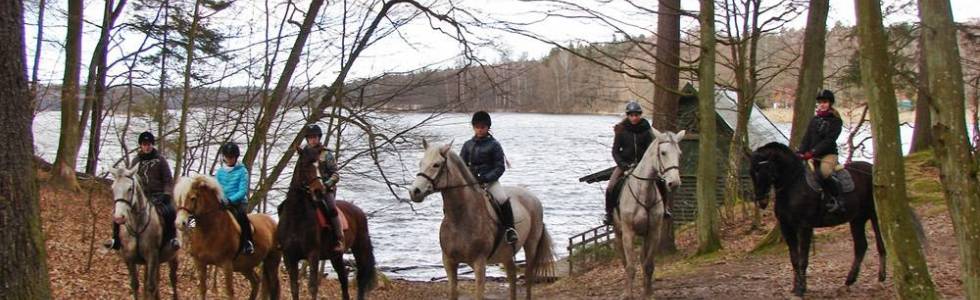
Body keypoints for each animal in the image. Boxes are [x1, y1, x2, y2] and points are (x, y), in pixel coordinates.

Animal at [109, 168, 180, 298]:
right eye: (113, 188)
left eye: (130, 188)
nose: (119, 218)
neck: (137, 225)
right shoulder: (129, 258)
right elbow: (135, 284)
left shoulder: (152, 256)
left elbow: (151, 286)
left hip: (173, 257)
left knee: (172, 279)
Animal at [280, 145, 378, 300]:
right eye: (305, 165)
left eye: (320, 166)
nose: (319, 190)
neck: (296, 217)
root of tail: (358, 211)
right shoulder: (289, 256)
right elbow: (294, 287)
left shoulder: (312, 254)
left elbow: (312, 287)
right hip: (335, 256)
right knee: (343, 279)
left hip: (359, 248)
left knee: (360, 278)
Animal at [408, 141, 560, 300]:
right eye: (420, 163)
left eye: (436, 165)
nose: (414, 192)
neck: (460, 218)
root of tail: (532, 196)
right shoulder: (449, 262)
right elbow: (453, 292)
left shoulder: (479, 263)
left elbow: (479, 294)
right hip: (506, 254)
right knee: (512, 276)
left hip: (531, 245)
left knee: (528, 276)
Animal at [608, 127, 684, 298]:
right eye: (663, 152)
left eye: (679, 153)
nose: (674, 183)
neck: (644, 192)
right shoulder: (629, 233)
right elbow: (630, 266)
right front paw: (628, 295)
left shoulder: (654, 232)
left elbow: (648, 265)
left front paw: (648, 294)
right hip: (618, 233)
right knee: (624, 260)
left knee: (643, 259)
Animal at [752, 143, 888, 298]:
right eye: (752, 172)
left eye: (766, 169)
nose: (761, 201)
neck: (793, 184)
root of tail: (872, 170)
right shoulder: (787, 227)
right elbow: (794, 259)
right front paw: (796, 287)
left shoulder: (804, 227)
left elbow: (803, 259)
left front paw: (801, 289)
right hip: (857, 219)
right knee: (861, 246)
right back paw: (848, 283)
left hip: (874, 215)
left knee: (880, 244)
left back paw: (880, 280)